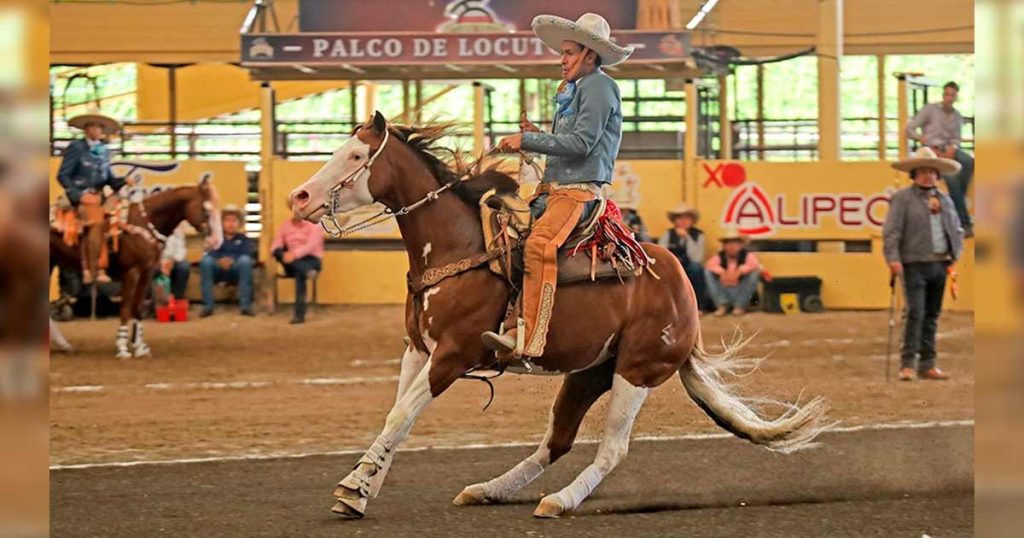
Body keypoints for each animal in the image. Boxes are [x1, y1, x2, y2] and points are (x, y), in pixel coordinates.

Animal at [48, 176, 223, 358]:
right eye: (206, 209)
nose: (215, 241)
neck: (145, 223)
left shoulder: (146, 272)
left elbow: (137, 307)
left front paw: (139, 347)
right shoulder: (131, 272)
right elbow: (125, 307)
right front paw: (122, 348)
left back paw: (64, 345)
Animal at [288, 114, 831, 520]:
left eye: (356, 156)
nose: (299, 198)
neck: (459, 247)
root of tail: (683, 290)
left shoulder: (453, 354)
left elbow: (402, 415)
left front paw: (353, 484)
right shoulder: (418, 349)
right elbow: (395, 416)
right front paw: (360, 492)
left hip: (637, 369)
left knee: (611, 449)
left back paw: (560, 500)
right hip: (589, 372)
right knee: (557, 441)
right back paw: (489, 489)